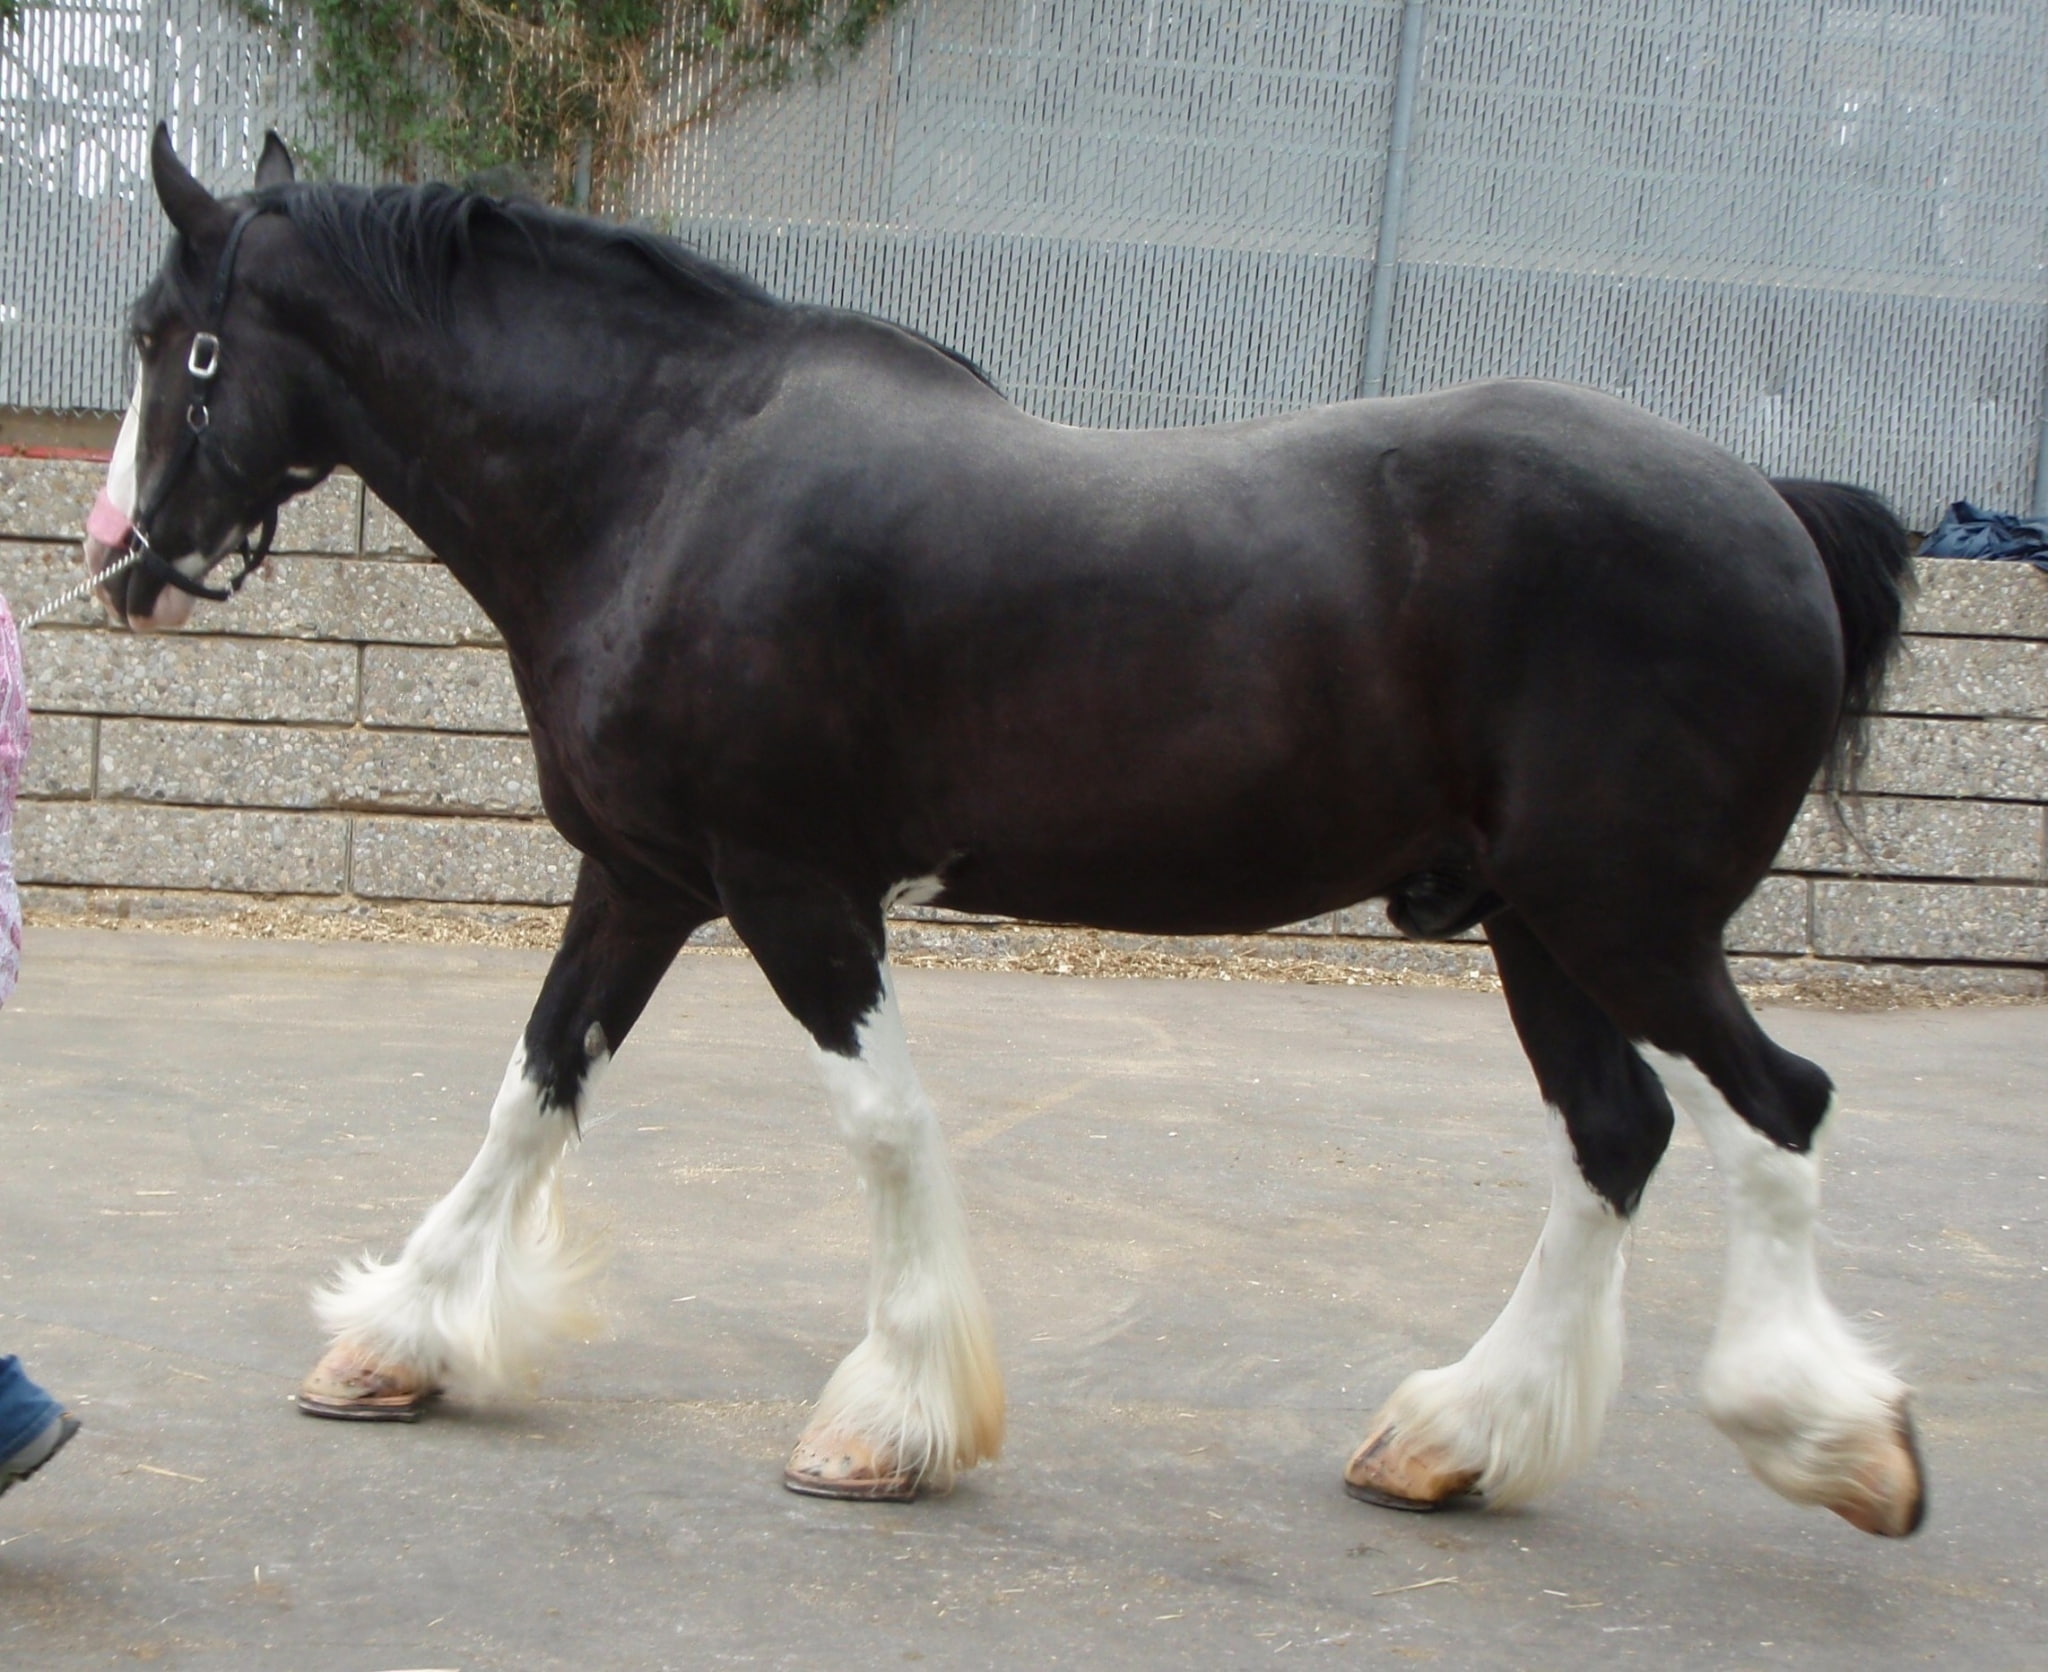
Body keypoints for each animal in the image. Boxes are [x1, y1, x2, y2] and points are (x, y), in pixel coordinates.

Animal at [88, 125, 1921, 1534]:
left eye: (173, 342)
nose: (118, 563)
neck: (667, 476)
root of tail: (1774, 509)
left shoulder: (793, 886)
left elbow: (881, 1127)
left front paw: (884, 1425)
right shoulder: (644, 878)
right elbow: (533, 1089)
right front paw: (400, 1339)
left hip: (1625, 922)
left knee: (1777, 1109)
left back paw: (1835, 1440)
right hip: (1537, 927)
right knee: (1616, 1134)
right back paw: (1451, 1439)